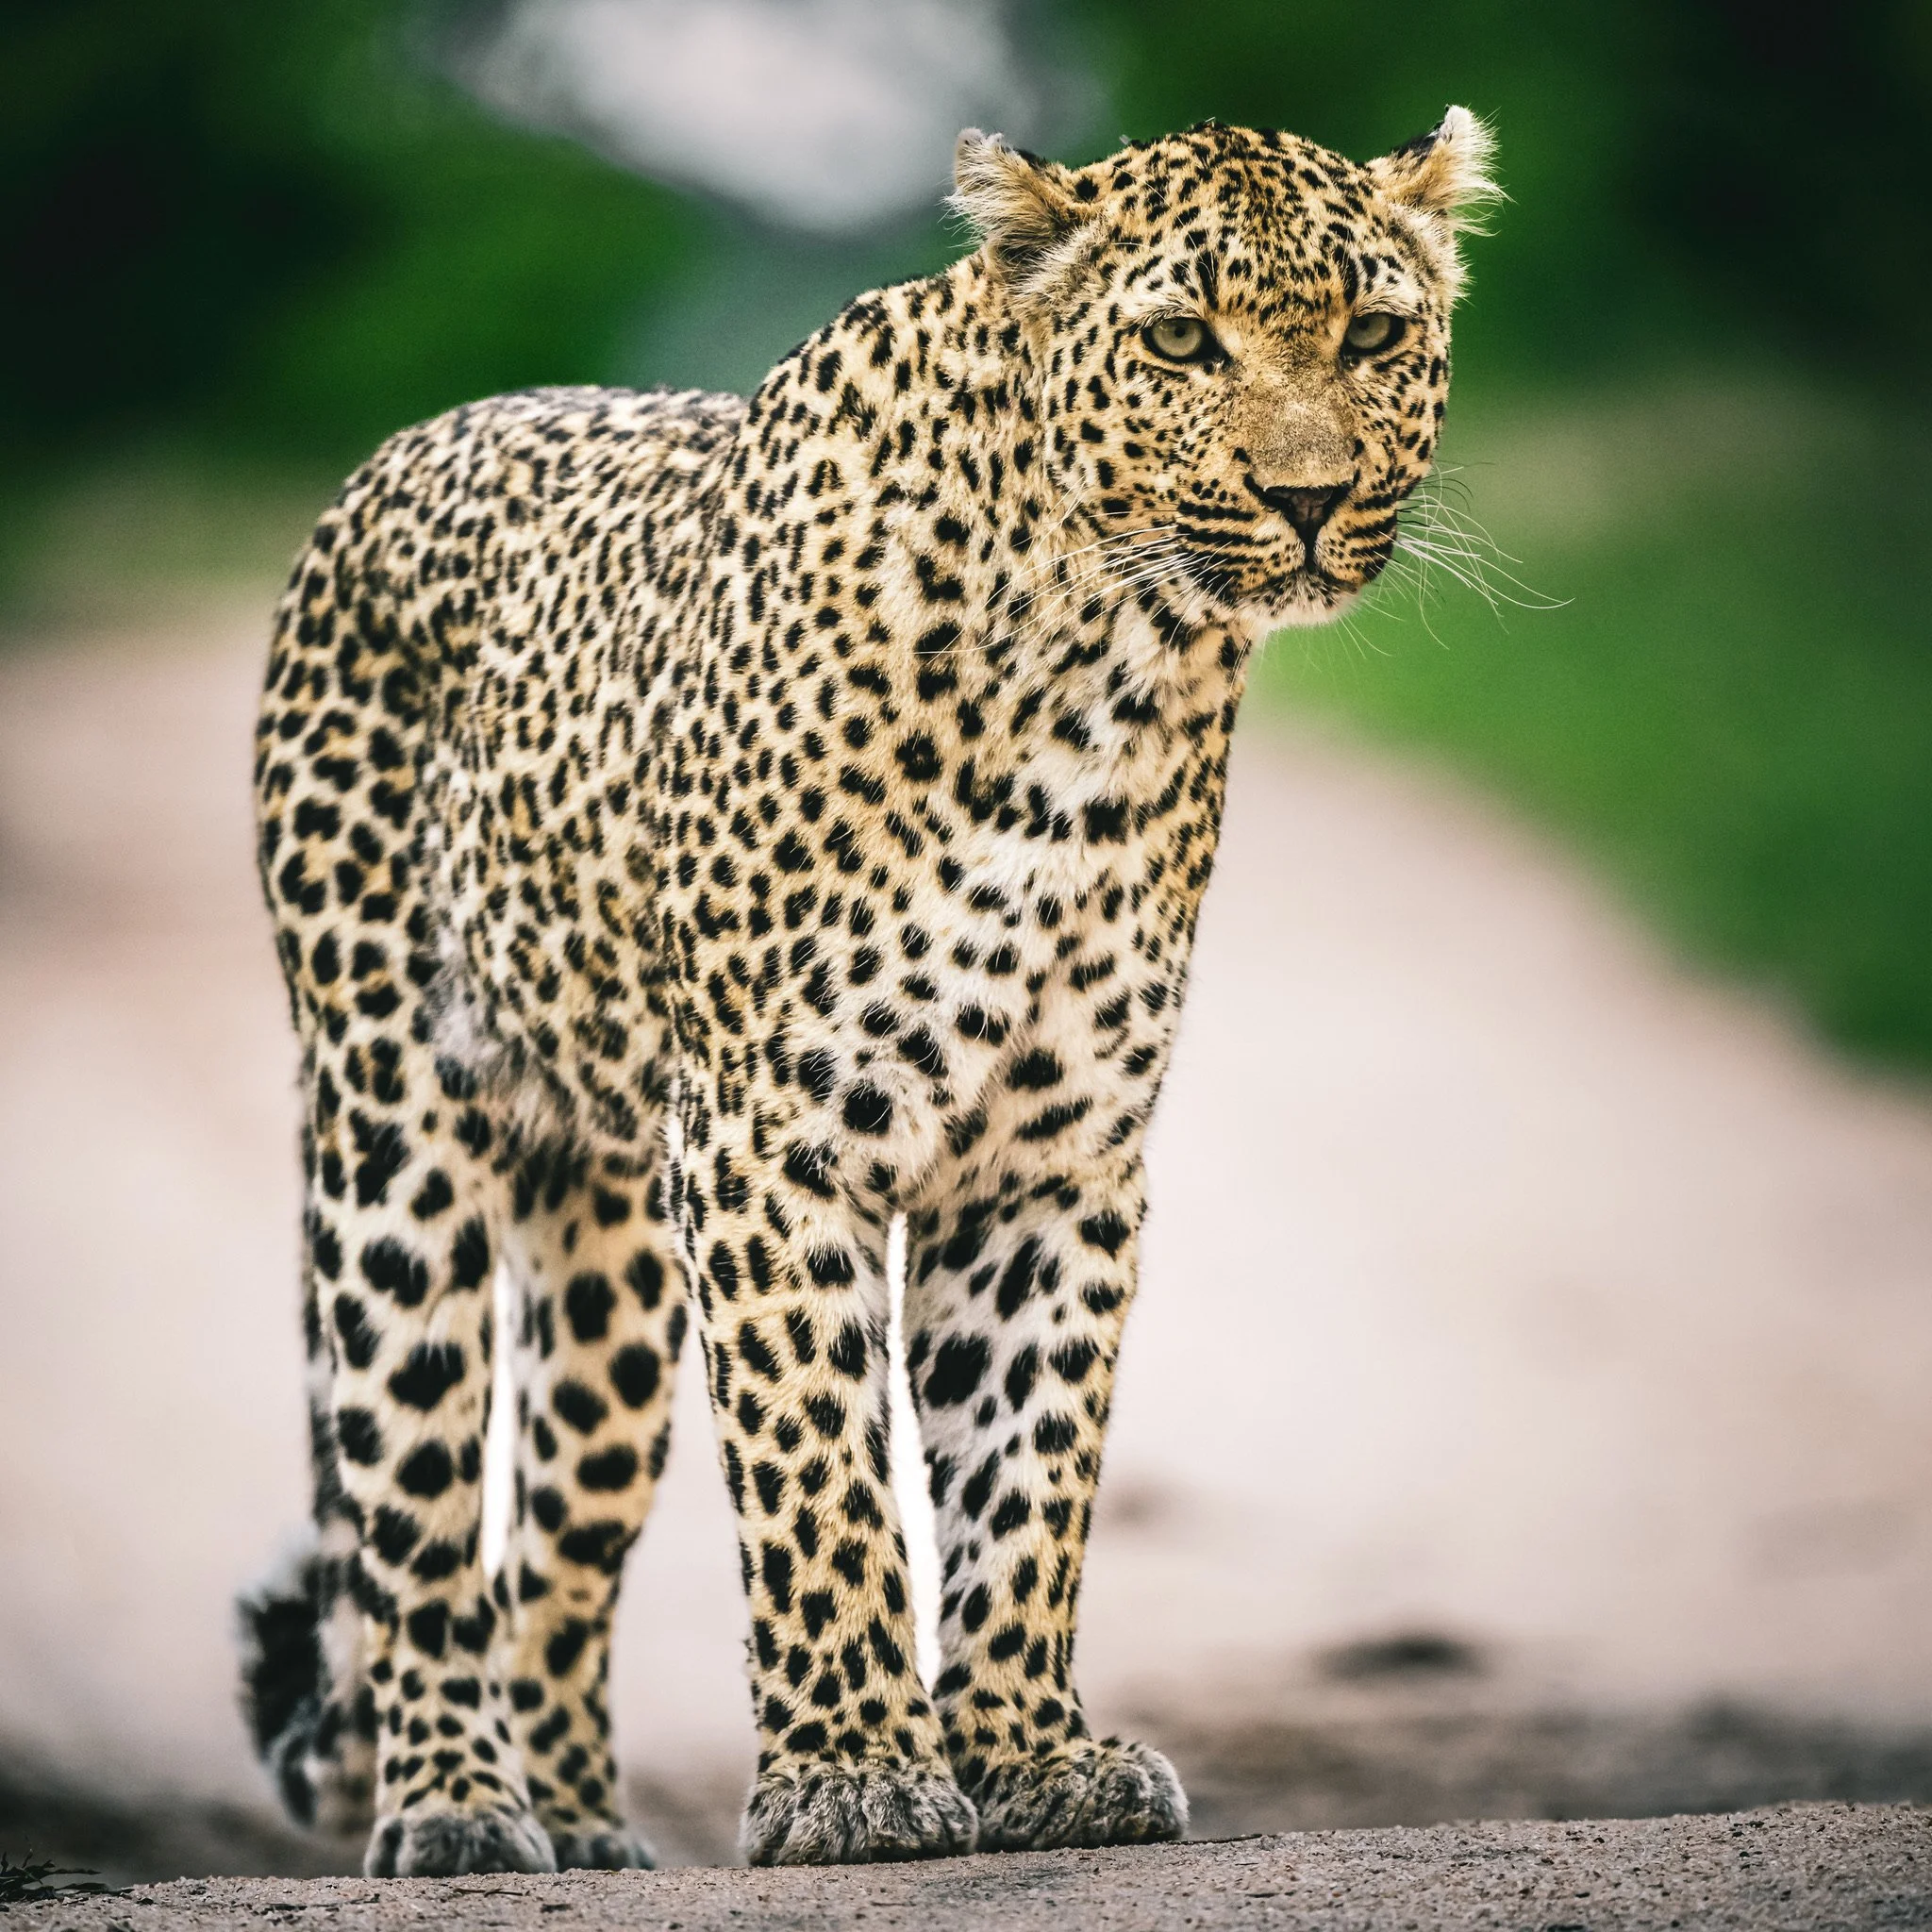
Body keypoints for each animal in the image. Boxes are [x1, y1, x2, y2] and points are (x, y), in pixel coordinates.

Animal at [237, 109, 1496, 1877]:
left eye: (1375, 334)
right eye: (1184, 339)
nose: (1307, 499)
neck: (1114, 662)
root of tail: (397, 454)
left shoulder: (1053, 1157)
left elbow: (1026, 1478)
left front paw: (1033, 1759)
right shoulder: (772, 1137)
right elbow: (817, 1467)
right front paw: (851, 1776)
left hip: (611, 1252)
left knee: (551, 1549)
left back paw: (583, 1817)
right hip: (396, 1141)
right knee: (415, 1508)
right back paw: (458, 1807)